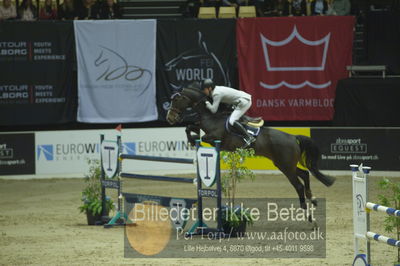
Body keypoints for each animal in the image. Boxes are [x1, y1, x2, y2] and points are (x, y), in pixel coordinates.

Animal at [166, 87, 334, 214]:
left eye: (176, 100)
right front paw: (192, 138)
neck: (211, 116)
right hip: (284, 164)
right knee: (305, 174)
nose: (169, 118)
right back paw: (312, 199)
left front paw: (193, 139)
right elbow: (189, 127)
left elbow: (203, 136)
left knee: (299, 184)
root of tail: (293, 137)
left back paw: (304, 208)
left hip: (286, 166)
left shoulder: (214, 136)